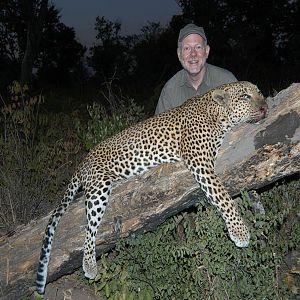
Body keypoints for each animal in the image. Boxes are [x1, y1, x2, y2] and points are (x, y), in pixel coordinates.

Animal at [35, 81, 268, 294]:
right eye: (245, 96)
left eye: (260, 93)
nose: (265, 107)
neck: (217, 114)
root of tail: (82, 163)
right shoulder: (200, 162)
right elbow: (223, 197)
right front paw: (240, 232)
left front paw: (257, 206)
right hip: (99, 188)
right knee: (89, 227)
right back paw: (90, 265)